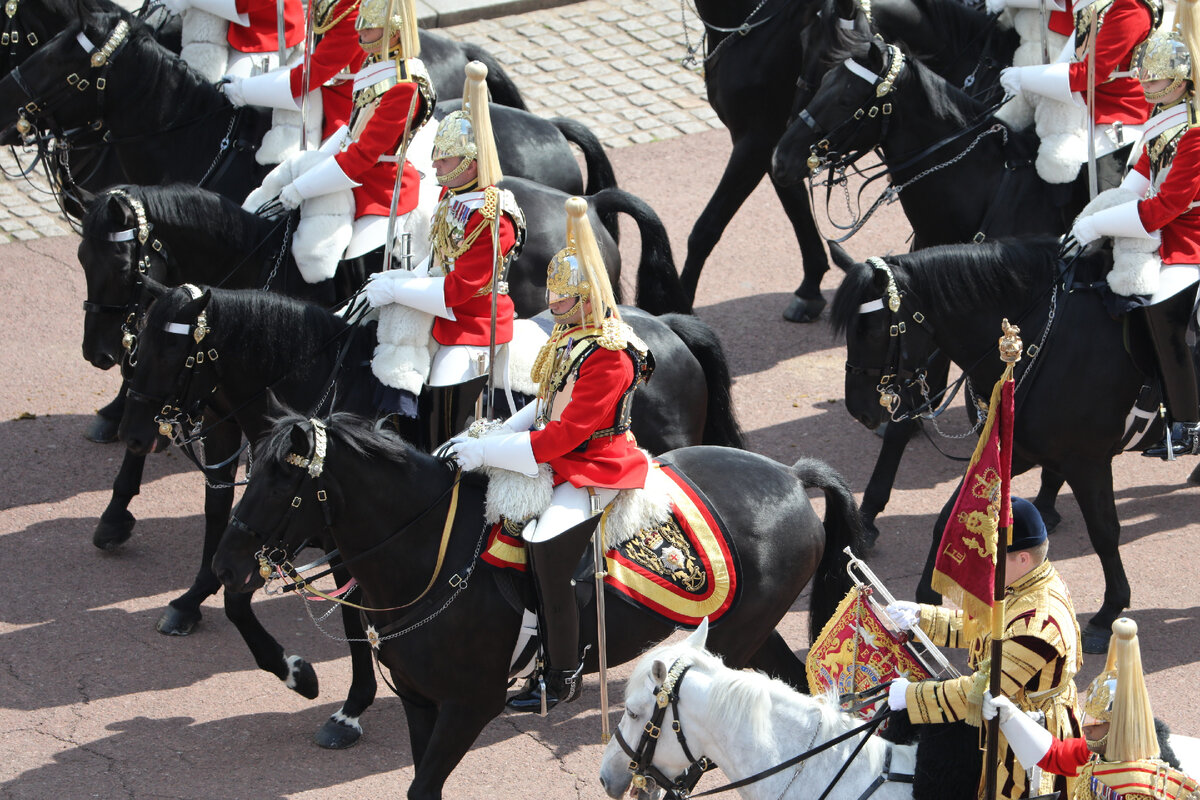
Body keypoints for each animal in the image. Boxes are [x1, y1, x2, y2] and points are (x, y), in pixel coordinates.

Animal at [208, 412, 864, 800]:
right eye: (248, 472)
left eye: (283, 483)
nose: (225, 567)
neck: (431, 555)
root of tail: (790, 475)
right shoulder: (422, 701)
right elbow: (423, 785)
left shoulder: (470, 705)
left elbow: (423, 785)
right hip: (747, 632)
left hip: (729, 642)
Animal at [835, 236, 1171, 652]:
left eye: (872, 330)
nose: (859, 409)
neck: (1048, 340)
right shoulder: (1018, 450)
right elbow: (949, 516)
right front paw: (924, 600)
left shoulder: (1087, 461)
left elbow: (1105, 531)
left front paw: (1110, 611)